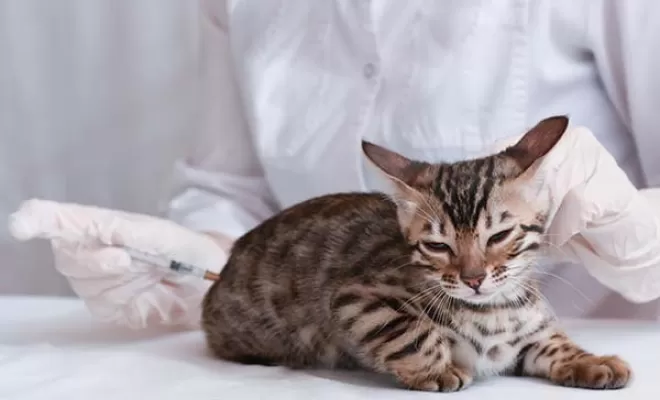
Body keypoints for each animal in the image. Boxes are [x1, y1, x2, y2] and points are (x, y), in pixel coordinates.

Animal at [202, 115, 636, 390]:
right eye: (438, 246)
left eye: (499, 236)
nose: (473, 279)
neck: (493, 312)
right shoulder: (355, 297)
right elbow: (410, 331)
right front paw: (436, 369)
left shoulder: (526, 335)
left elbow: (552, 342)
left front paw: (588, 361)